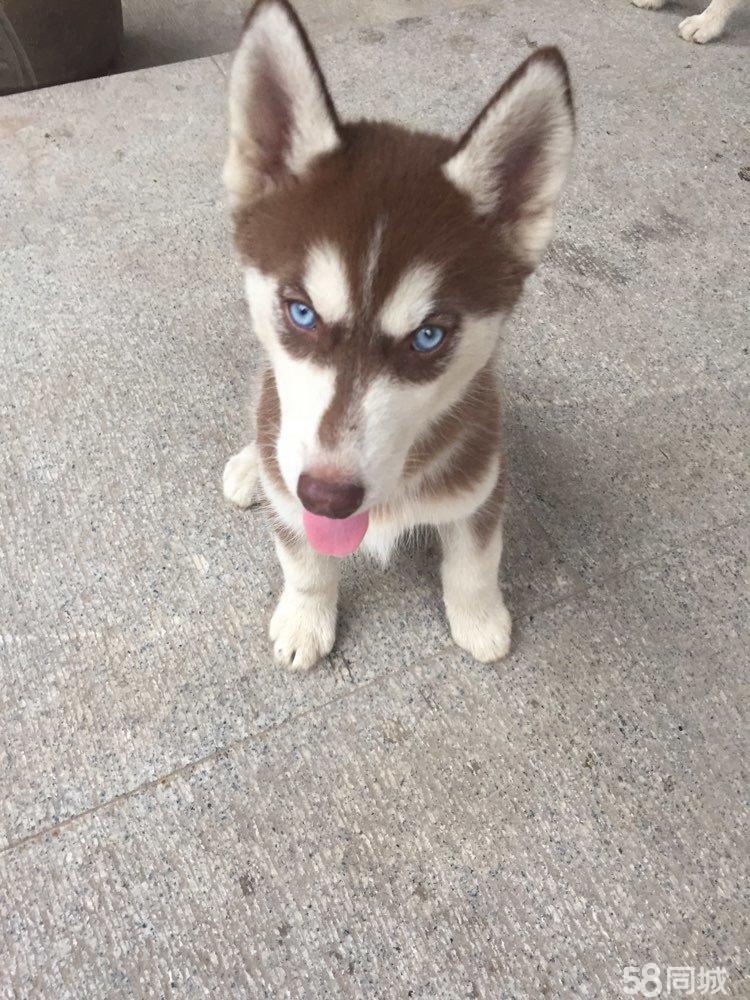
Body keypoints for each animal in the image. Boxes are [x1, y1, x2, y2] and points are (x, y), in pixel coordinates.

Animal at [223, 3, 576, 672]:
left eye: (429, 336)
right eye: (302, 313)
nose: (328, 497)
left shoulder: (479, 484)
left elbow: (475, 561)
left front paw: (479, 620)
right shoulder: (295, 498)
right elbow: (304, 561)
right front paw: (305, 617)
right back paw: (250, 465)